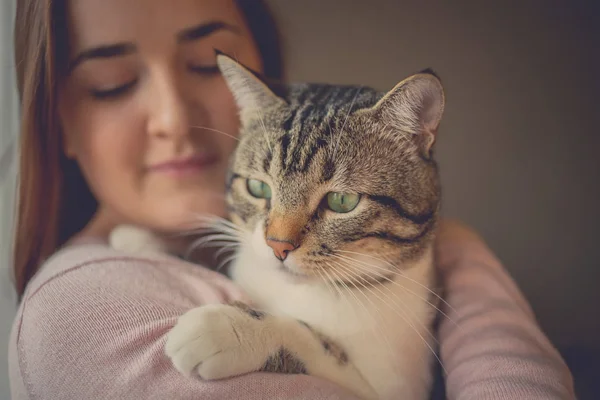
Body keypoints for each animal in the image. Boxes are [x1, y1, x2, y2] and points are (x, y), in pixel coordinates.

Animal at [109, 54, 446, 400]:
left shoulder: (392, 387)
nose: (278, 245)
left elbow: (314, 341)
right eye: (258, 187)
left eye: (342, 201)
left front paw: (230, 329)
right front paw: (142, 238)